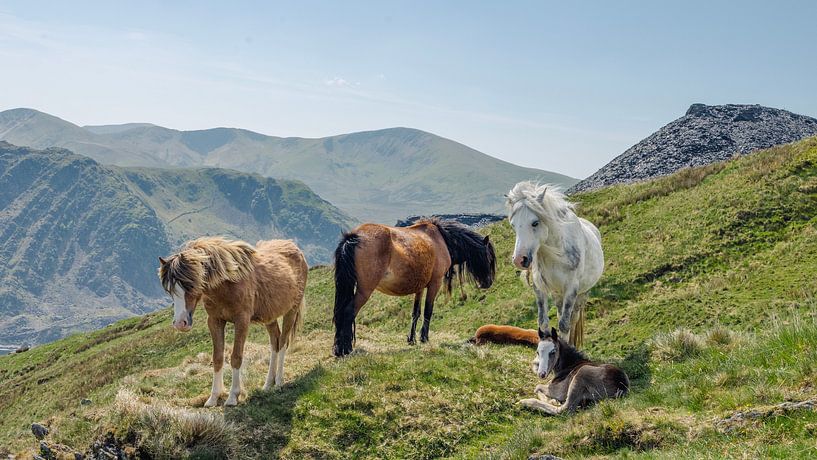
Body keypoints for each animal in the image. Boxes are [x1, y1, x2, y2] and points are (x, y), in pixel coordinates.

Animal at [158, 237, 307, 407]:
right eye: (169, 290)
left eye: (190, 285)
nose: (180, 323)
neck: (228, 284)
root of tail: (294, 247)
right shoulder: (215, 321)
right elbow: (217, 358)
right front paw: (213, 398)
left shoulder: (241, 321)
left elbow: (236, 357)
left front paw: (232, 397)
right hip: (270, 317)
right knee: (274, 343)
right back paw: (268, 384)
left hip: (291, 311)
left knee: (282, 342)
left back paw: (279, 382)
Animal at [332, 218, 496, 357]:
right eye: (489, 258)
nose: (488, 282)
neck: (441, 240)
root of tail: (354, 237)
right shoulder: (434, 284)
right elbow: (428, 311)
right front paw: (424, 338)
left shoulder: (420, 288)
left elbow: (415, 313)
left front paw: (411, 339)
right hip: (365, 290)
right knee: (348, 312)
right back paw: (345, 349)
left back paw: (338, 348)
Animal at [506, 181, 604, 347]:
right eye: (513, 225)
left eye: (535, 223)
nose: (519, 259)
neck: (555, 256)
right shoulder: (540, 289)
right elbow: (543, 323)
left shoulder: (571, 289)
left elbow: (564, 325)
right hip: (558, 294)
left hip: (582, 293)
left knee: (573, 318)